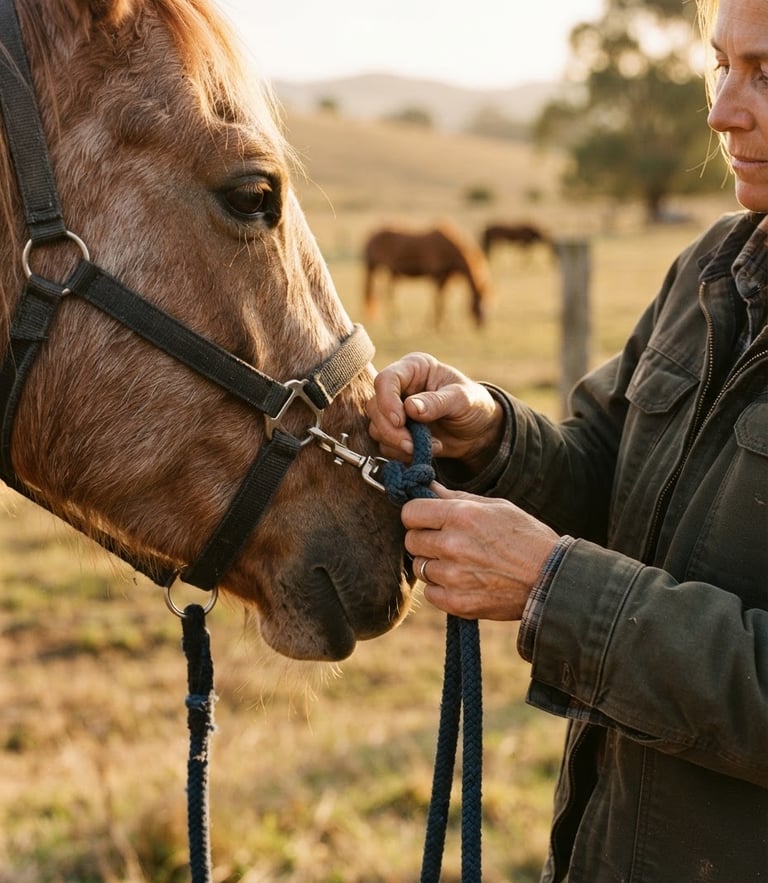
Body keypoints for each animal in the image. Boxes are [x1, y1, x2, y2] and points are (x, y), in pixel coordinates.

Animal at [363, 224, 491, 329]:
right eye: (479, 301)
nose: (483, 325)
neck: (449, 249)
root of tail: (373, 234)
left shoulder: (446, 277)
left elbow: (444, 298)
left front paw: (444, 323)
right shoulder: (438, 277)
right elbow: (438, 299)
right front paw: (436, 324)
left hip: (392, 272)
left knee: (389, 293)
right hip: (377, 268)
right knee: (388, 294)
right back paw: (397, 323)